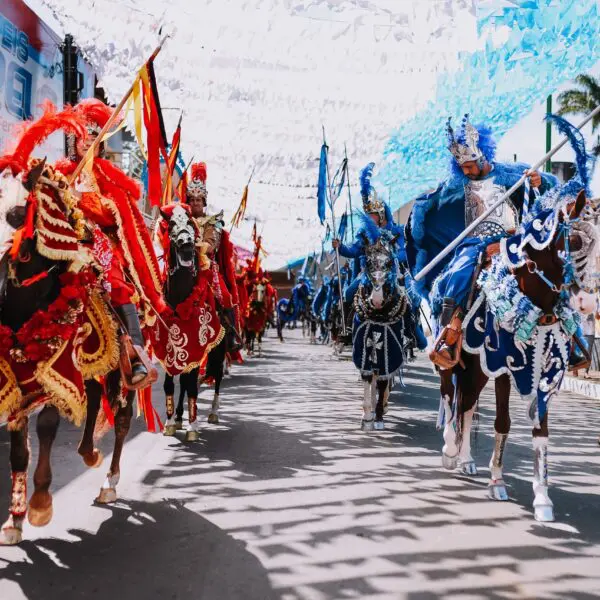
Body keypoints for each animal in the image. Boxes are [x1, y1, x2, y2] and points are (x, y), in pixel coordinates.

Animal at [438, 190, 596, 524]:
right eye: (575, 242)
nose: (587, 303)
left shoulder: (547, 371)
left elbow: (541, 431)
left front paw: (543, 499)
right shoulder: (504, 368)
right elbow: (502, 422)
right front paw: (497, 481)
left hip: (477, 369)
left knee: (467, 405)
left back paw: (466, 459)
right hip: (454, 358)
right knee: (448, 393)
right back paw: (449, 451)